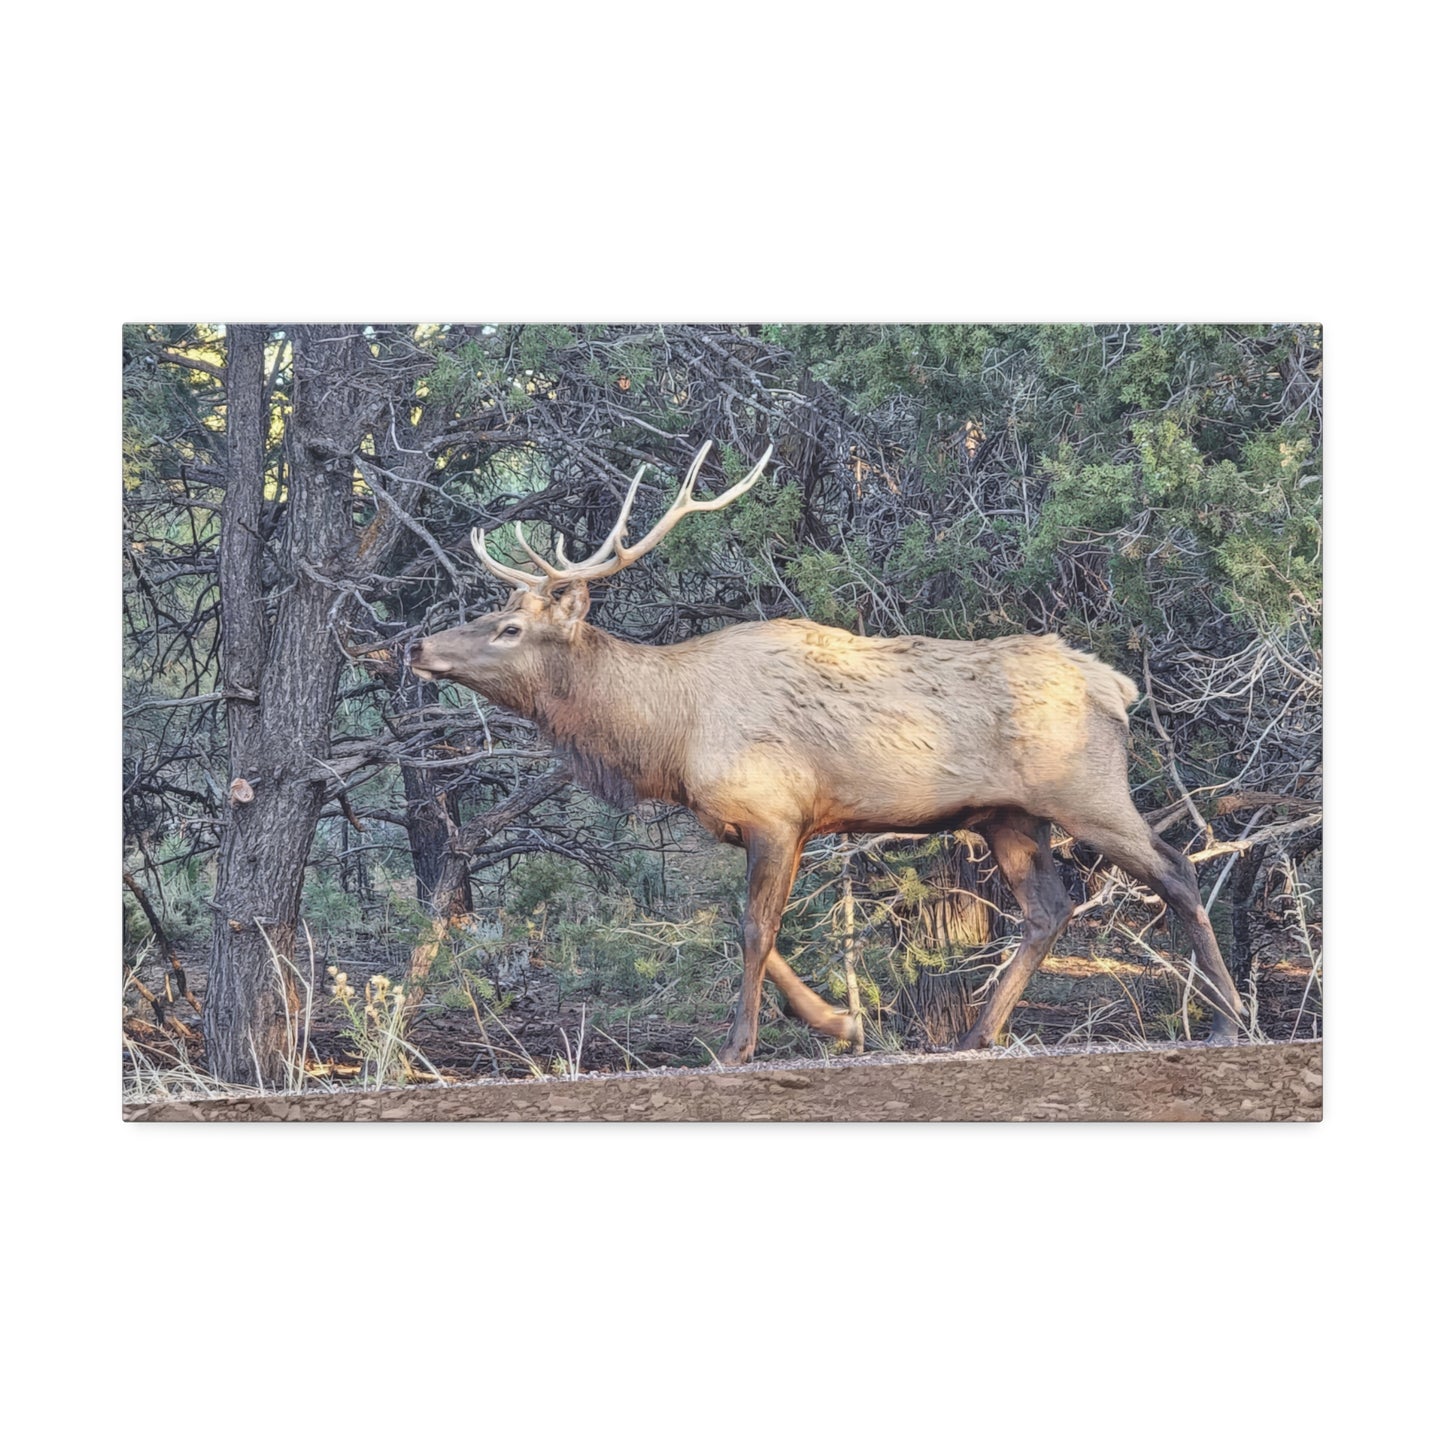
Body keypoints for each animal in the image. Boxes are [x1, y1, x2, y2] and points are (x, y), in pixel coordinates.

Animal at [409, 442, 1246, 1066]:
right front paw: (843, 1022)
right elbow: (760, 930)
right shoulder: (769, 822)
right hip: (1007, 815)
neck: (668, 738)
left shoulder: (774, 811)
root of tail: (1115, 684)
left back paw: (1227, 1020)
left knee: (1173, 867)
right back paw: (976, 1033)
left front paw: (738, 1046)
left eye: (509, 628)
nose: (418, 645)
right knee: (1048, 908)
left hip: (1085, 790)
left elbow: (752, 929)